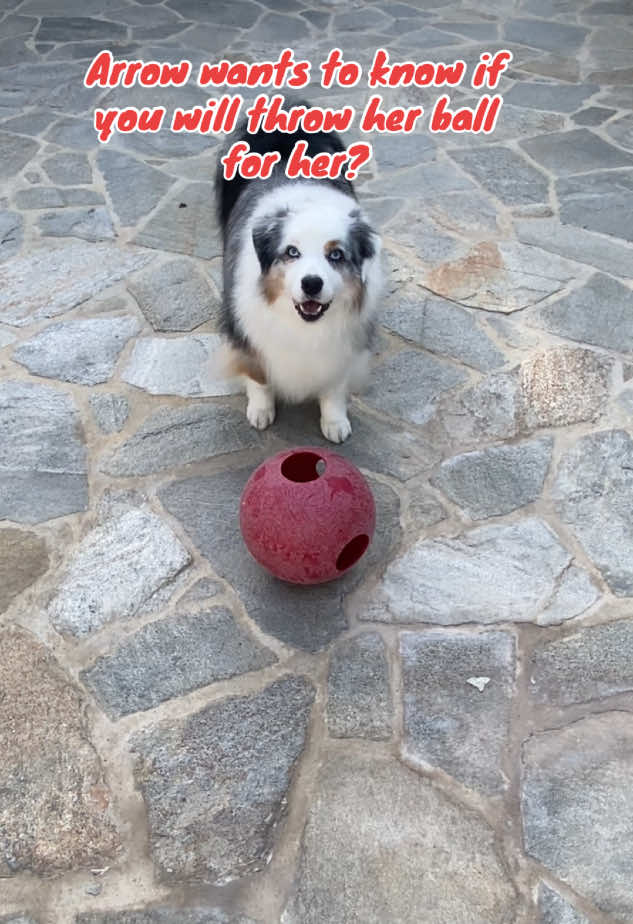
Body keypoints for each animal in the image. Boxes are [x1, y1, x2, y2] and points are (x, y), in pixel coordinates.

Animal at [215, 119, 380, 444]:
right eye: (292, 252)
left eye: (336, 255)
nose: (311, 284)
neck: (304, 326)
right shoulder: (247, 330)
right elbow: (258, 375)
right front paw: (261, 410)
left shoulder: (344, 344)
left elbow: (334, 386)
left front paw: (334, 421)